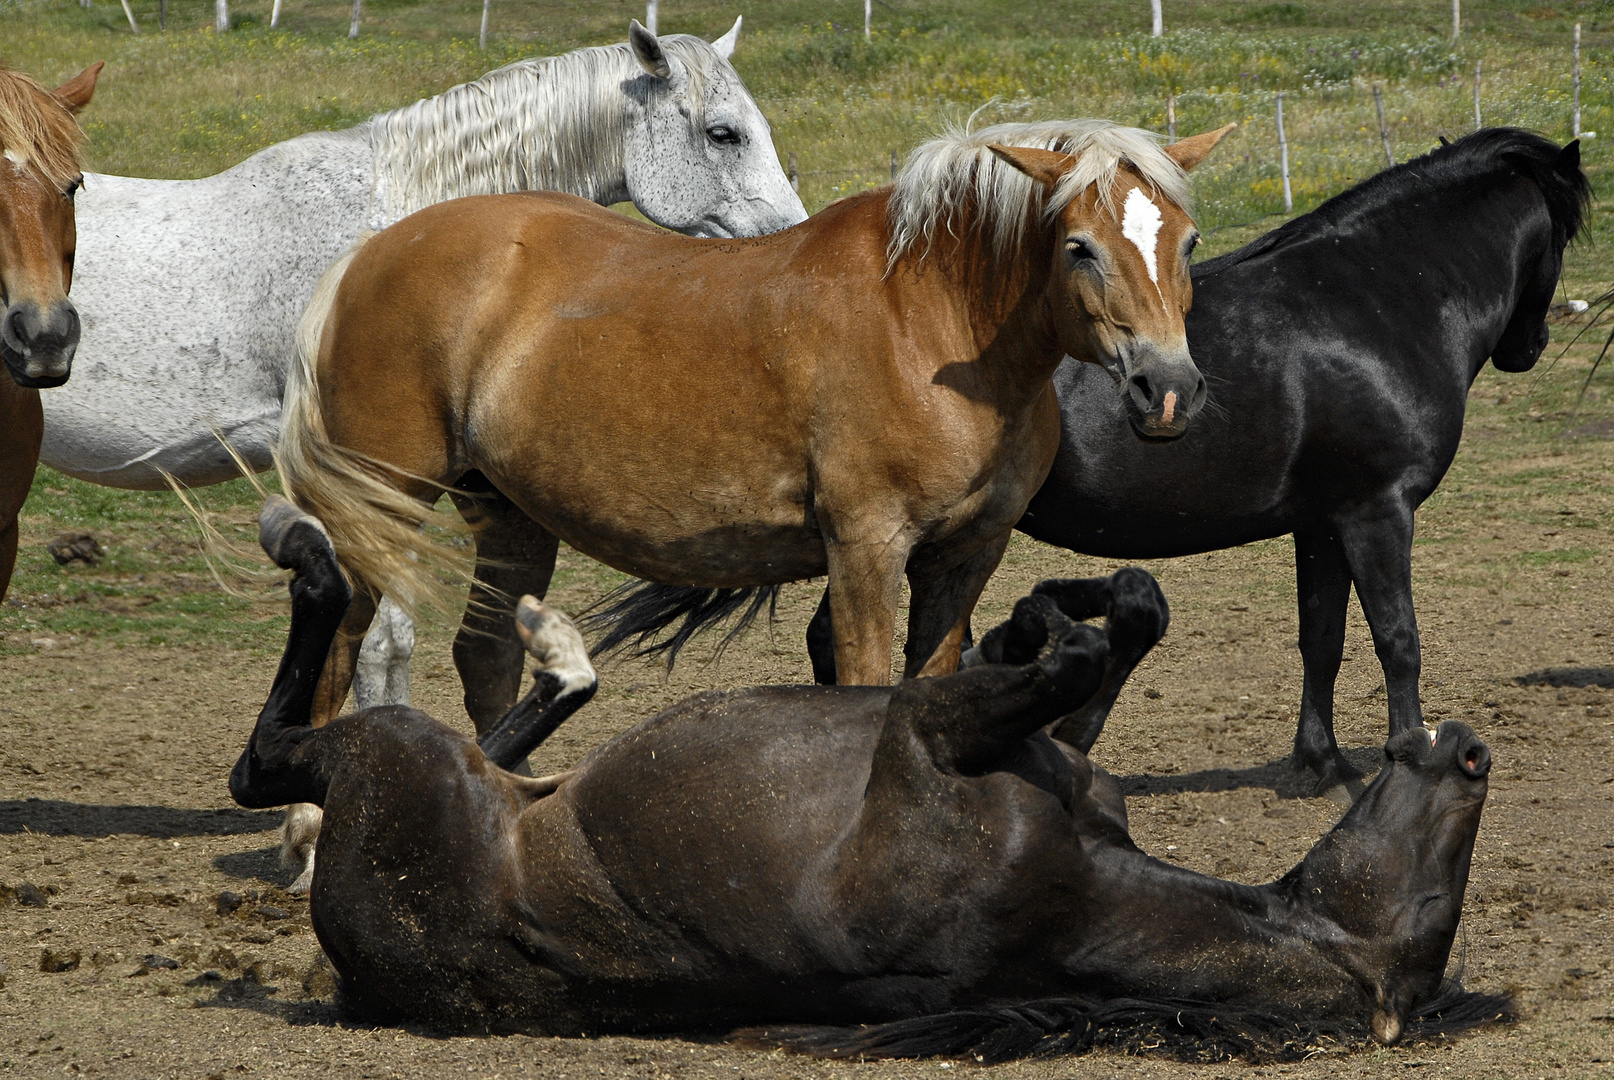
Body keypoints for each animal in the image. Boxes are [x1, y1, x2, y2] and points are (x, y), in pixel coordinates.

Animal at [280, 120, 1233, 732]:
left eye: (1187, 242)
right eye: (1079, 247)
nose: (1168, 389)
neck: (931, 326)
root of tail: (366, 257)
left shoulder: (965, 556)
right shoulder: (865, 551)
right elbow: (866, 687)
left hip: (508, 515)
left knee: (486, 665)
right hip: (384, 506)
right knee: (340, 649)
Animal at [794, 128, 1588, 800]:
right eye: (1566, 234)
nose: (1531, 347)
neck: (1372, 302)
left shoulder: (1322, 524)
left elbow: (1322, 639)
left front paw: (1320, 763)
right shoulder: (1376, 511)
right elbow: (1398, 639)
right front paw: (1407, 756)